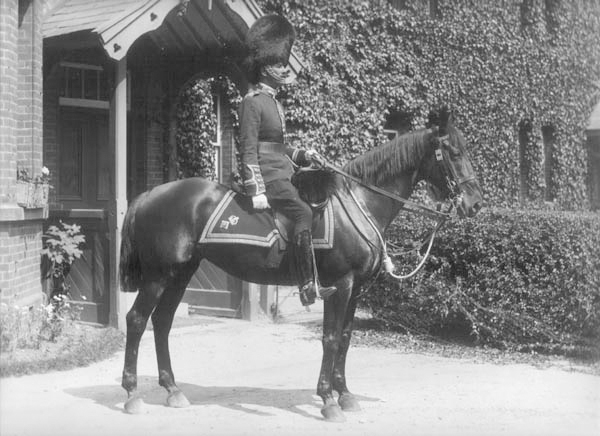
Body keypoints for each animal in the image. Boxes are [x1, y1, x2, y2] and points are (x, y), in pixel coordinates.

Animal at [117, 107, 482, 420]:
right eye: (453, 152)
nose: (475, 204)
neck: (357, 202)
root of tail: (148, 195)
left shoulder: (356, 289)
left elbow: (346, 337)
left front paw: (345, 394)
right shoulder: (340, 285)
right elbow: (331, 338)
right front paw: (328, 400)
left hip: (181, 274)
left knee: (162, 322)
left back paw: (172, 389)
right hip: (158, 277)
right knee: (137, 320)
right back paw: (132, 394)